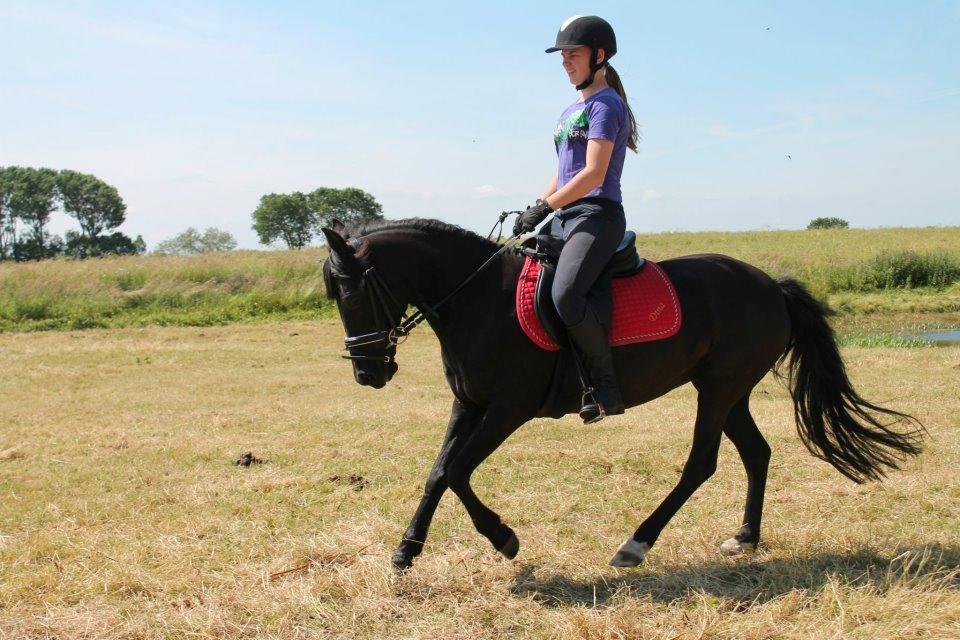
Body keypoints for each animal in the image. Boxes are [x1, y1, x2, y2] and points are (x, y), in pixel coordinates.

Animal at [320, 218, 923, 570]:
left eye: (353, 293)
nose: (367, 374)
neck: (478, 298)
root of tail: (771, 285)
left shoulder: (508, 410)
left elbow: (457, 472)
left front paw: (504, 539)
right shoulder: (468, 405)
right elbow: (438, 471)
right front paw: (406, 549)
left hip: (720, 388)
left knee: (701, 464)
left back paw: (636, 544)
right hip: (728, 390)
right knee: (756, 453)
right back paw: (745, 537)